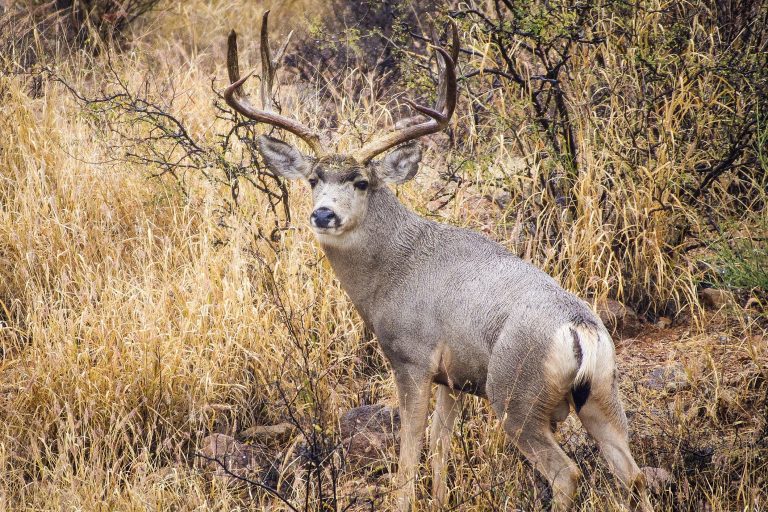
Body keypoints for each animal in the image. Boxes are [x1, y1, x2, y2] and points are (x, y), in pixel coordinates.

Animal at [224, 12, 656, 512]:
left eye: (361, 182)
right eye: (314, 179)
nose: (323, 214)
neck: (394, 268)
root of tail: (581, 330)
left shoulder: (411, 356)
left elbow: (409, 452)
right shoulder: (456, 376)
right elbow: (440, 445)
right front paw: (439, 498)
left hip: (515, 395)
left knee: (568, 473)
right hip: (603, 395)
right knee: (633, 475)